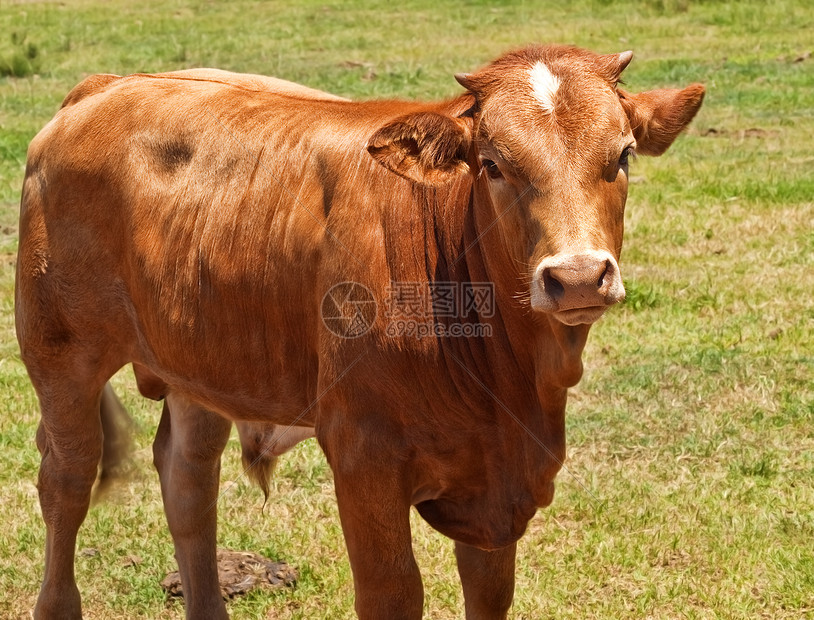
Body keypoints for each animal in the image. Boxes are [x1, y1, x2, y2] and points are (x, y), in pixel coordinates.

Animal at [17, 46, 708, 616]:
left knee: (188, 483)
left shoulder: (496, 487)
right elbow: (392, 592)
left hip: (202, 364)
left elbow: (489, 591)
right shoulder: (362, 454)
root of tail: (107, 85)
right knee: (67, 480)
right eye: (491, 164)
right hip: (59, 353)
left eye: (622, 155)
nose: (578, 277)